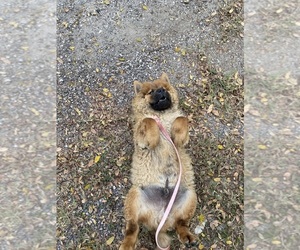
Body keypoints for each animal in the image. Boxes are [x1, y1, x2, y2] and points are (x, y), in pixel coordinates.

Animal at [119, 73, 197, 250]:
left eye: (164, 88)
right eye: (151, 92)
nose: (161, 91)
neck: (163, 115)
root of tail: (161, 219)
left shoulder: (181, 133)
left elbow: (182, 118)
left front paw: (177, 134)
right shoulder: (140, 137)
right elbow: (149, 121)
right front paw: (155, 139)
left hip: (190, 195)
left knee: (181, 223)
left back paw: (187, 236)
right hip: (135, 196)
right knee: (132, 227)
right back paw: (127, 244)